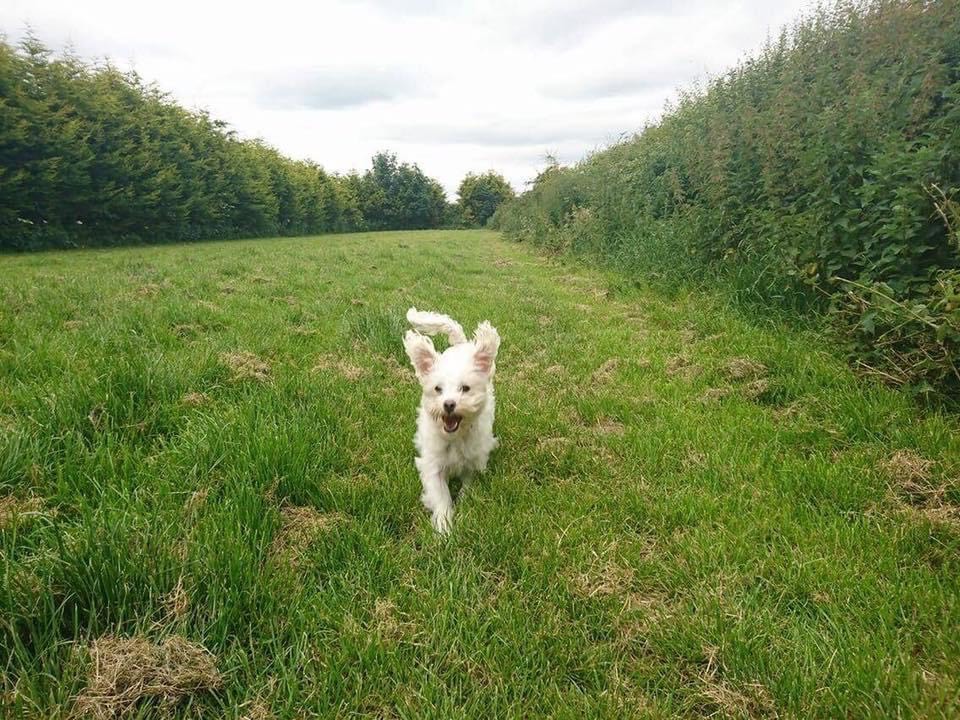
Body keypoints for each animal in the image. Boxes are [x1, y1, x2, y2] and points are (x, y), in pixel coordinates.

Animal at [403, 307, 500, 533]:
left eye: (465, 388)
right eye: (437, 389)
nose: (448, 404)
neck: (456, 437)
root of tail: (459, 345)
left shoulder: (474, 462)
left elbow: (468, 485)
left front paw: (464, 504)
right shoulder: (433, 466)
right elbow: (441, 496)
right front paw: (443, 528)